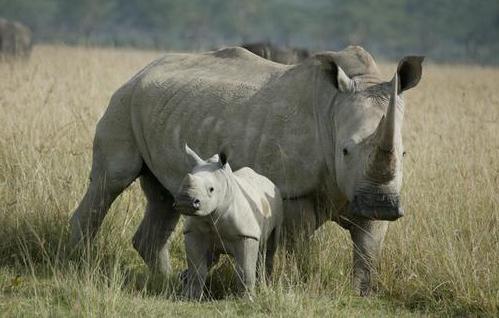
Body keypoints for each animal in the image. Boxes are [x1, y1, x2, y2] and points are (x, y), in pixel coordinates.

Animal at [177, 145, 284, 300]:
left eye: (211, 189)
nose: (185, 201)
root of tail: (270, 182)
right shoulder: (193, 232)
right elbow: (197, 269)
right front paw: (191, 297)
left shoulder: (247, 234)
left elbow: (244, 270)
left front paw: (247, 299)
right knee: (211, 258)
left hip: (277, 202)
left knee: (269, 249)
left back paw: (266, 287)